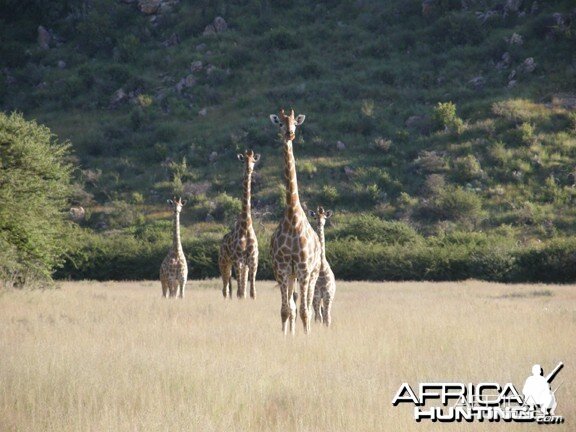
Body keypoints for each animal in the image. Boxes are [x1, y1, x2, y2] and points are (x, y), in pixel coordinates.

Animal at [217, 150, 260, 298]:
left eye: (253, 160)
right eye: (243, 161)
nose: (249, 169)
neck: (246, 226)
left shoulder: (252, 260)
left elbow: (251, 292)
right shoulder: (238, 260)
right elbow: (240, 291)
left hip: (238, 265)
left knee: (235, 288)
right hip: (224, 262)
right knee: (225, 288)